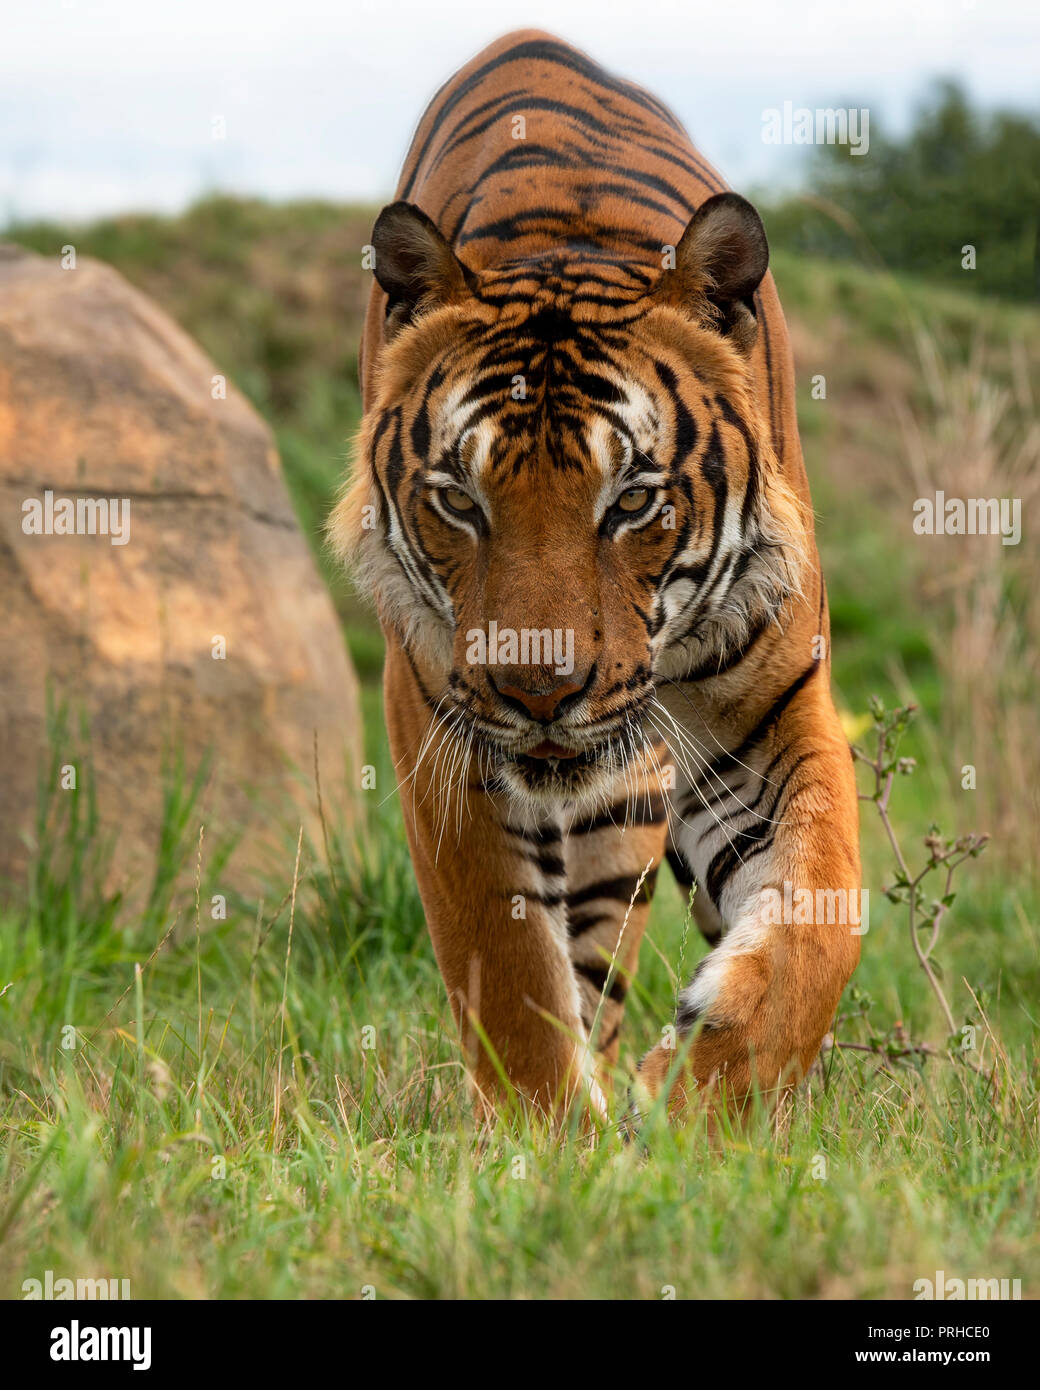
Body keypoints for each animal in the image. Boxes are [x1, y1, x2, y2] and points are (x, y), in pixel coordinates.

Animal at [333, 27, 862, 1123]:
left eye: (631, 501)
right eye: (459, 499)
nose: (539, 692)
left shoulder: (775, 707)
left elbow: (821, 920)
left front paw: (687, 1111)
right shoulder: (436, 719)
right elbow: (506, 967)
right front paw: (554, 1146)